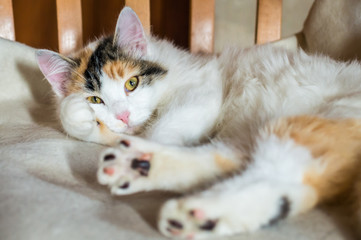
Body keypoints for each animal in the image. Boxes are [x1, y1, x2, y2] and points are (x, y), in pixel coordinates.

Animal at [35, 6, 360, 239]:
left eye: (131, 83)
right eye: (95, 100)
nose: (123, 115)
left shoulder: (203, 89)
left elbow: (163, 126)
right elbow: (94, 127)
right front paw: (77, 113)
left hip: (334, 113)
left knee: (282, 173)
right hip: (245, 139)